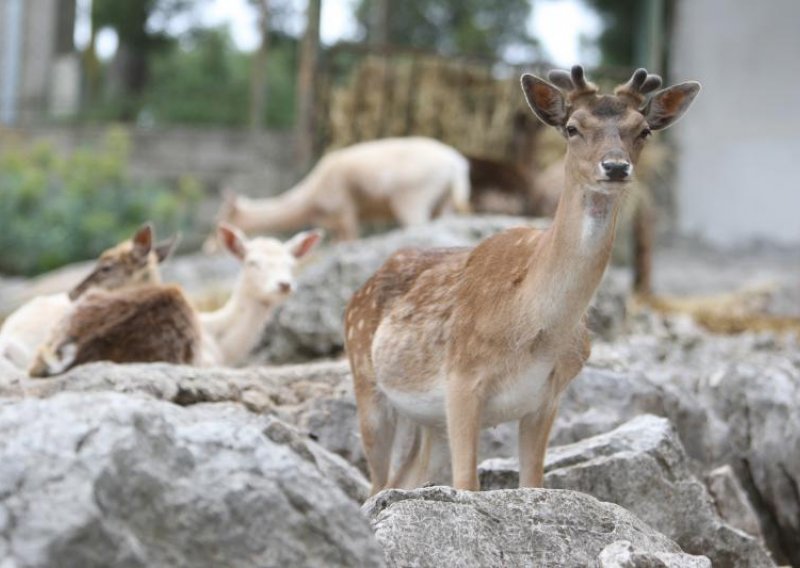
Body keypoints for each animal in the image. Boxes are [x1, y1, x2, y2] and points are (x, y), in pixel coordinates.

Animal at [203, 136, 472, 247]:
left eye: (218, 219)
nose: (208, 247)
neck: (308, 202)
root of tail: (456, 164)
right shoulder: (334, 222)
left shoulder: (344, 210)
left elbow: (351, 238)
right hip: (444, 202)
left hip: (412, 198)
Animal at [344, 65, 700, 492]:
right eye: (573, 128)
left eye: (643, 129)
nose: (615, 167)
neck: (532, 328)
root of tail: (357, 294)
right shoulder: (460, 380)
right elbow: (467, 484)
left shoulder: (548, 397)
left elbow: (533, 481)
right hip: (366, 383)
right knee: (376, 484)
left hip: (428, 422)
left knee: (403, 479)